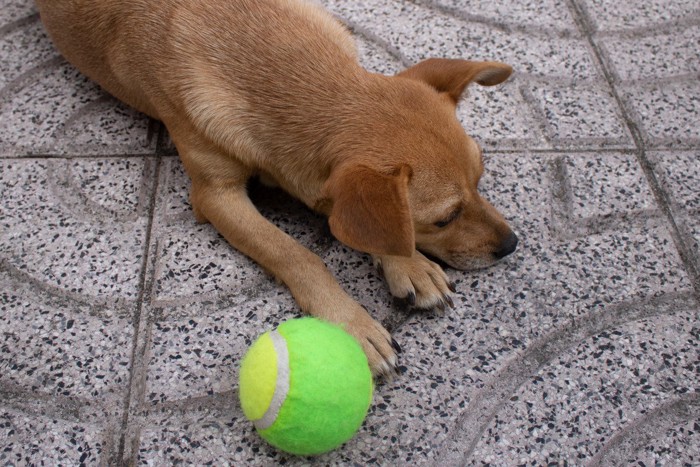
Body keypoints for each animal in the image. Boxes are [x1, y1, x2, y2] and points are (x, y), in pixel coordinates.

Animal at [35, 0, 516, 376]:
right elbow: (297, 255)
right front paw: (352, 323)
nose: (511, 245)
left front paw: (408, 264)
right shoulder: (216, 196)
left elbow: (373, 227)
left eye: (481, 179)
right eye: (445, 218)